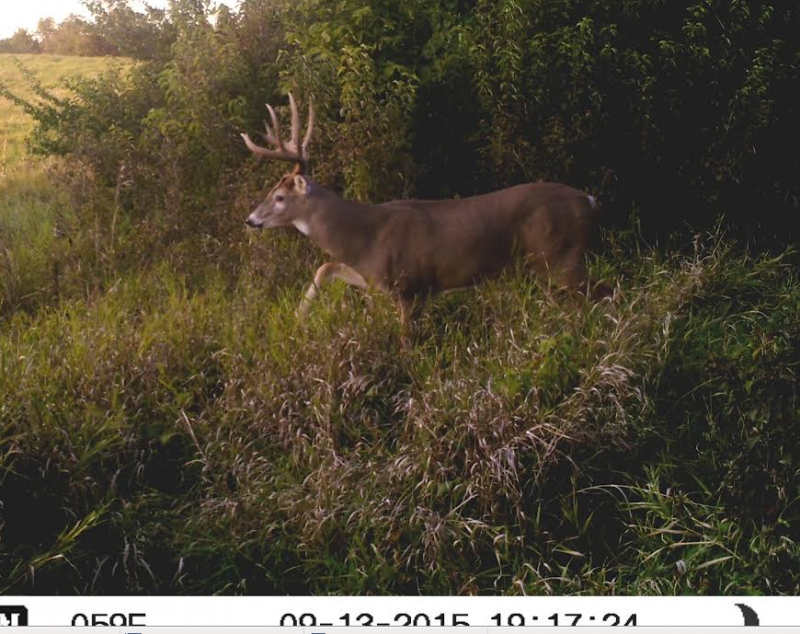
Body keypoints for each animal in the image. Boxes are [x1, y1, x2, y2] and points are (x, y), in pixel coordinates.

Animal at [242, 94, 610, 345]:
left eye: (279, 197)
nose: (250, 219)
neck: (364, 237)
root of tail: (590, 201)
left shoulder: (409, 287)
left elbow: (407, 343)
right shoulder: (376, 280)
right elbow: (326, 267)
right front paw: (299, 317)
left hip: (562, 257)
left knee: (602, 295)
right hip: (546, 267)